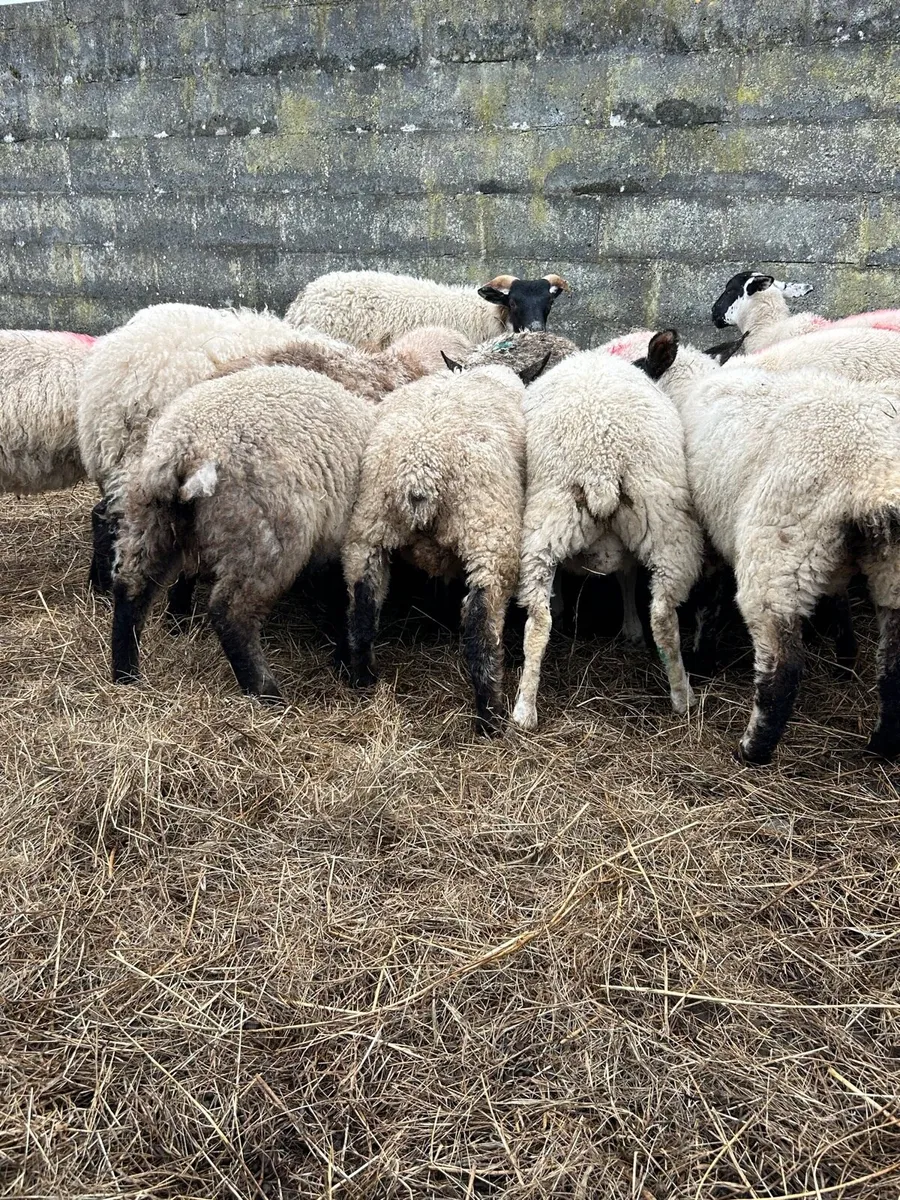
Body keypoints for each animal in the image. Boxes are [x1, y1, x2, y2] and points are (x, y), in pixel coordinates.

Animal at [111, 365, 374, 701]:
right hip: (263, 539)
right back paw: (267, 693)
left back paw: (126, 675)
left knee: (132, 588)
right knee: (231, 613)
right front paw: (352, 667)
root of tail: (184, 448)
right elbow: (351, 603)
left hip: (151, 520)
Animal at [342, 362, 536, 735]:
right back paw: (490, 716)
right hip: (489, 535)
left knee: (362, 605)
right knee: (480, 624)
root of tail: (419, 471)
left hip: (368, 529)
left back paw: (363, 680)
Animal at [511, 349, 704, 730]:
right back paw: (683, 697)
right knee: (663, 615)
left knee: (540, 621)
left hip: (552, 518)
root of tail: (601, 463)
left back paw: (524, 709)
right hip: (665, 522)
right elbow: (627, 577)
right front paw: (631, 628)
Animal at [640, 328, 900, 764]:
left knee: (782, 666)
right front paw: (845, 657)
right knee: (894, 665)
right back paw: (881, 748)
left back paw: (754, 748)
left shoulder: (708, 531)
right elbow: (838, 599)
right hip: (885, 566)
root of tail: (873, 478)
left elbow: (709, 600)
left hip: (778, 549)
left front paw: (703, 660)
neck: (690, 389)